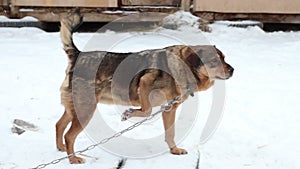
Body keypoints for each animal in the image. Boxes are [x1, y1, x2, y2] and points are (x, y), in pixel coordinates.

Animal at [56, 10, 234, 164]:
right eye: (214, 61)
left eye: (224, 58)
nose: (233, 70)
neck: (182, 67)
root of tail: (78, 55)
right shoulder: (145, 82)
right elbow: (146, 110)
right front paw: (128, 113)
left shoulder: (169, 109)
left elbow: (170, 133)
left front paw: (174, 150)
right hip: (86, 109)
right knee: (69, 135)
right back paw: (73, 159)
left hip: (75, 108)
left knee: (59, 125)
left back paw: (61, 149)